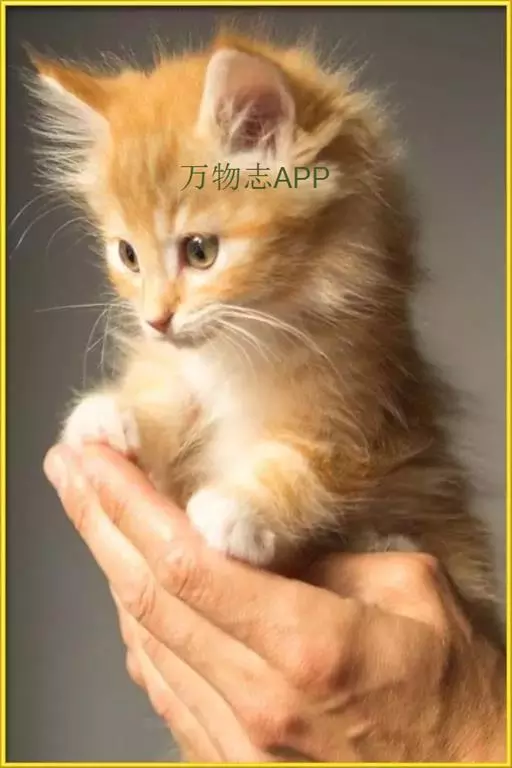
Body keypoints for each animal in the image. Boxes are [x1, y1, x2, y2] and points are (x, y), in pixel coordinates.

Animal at [27, 31, 500, 631]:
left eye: (199, 251)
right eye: (128, 255)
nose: (157, 319)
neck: (245, 347)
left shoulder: (363, 419)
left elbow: (306, 468)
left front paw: (238, 509)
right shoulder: (186, 381)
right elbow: (169, 398)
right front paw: (113, 412)